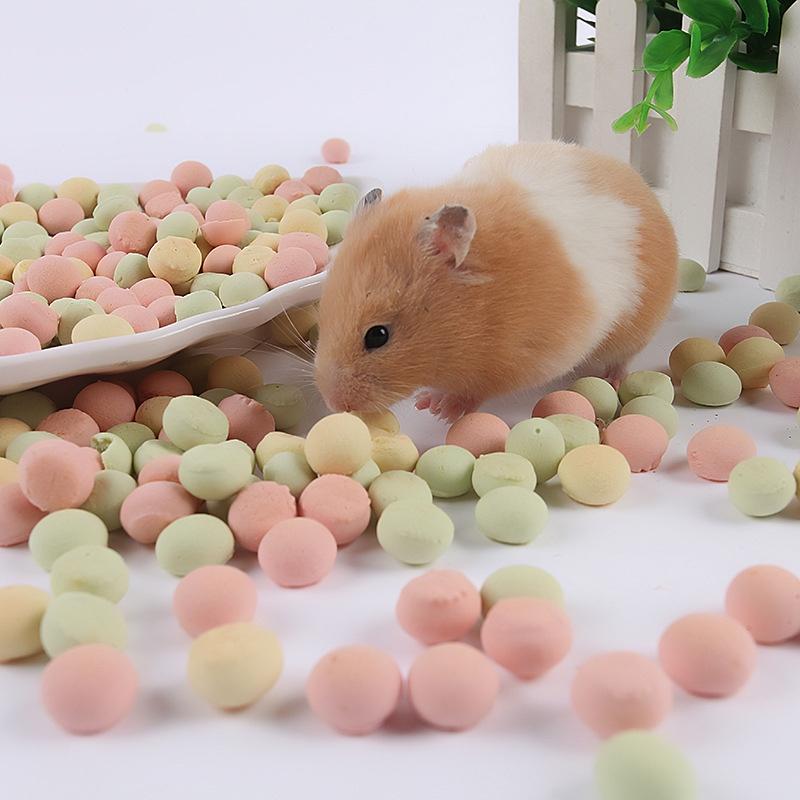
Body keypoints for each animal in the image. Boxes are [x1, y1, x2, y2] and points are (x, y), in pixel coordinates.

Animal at [315, 141, 677, 421]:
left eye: (378, 336)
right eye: (322, 318)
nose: (335, 405)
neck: (477, 315)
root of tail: (645, 189)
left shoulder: (524, 360)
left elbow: (476, 390)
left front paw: (437, 409)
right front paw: (426, 404)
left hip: (637, 327)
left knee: (623, 358)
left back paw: (613, 380)